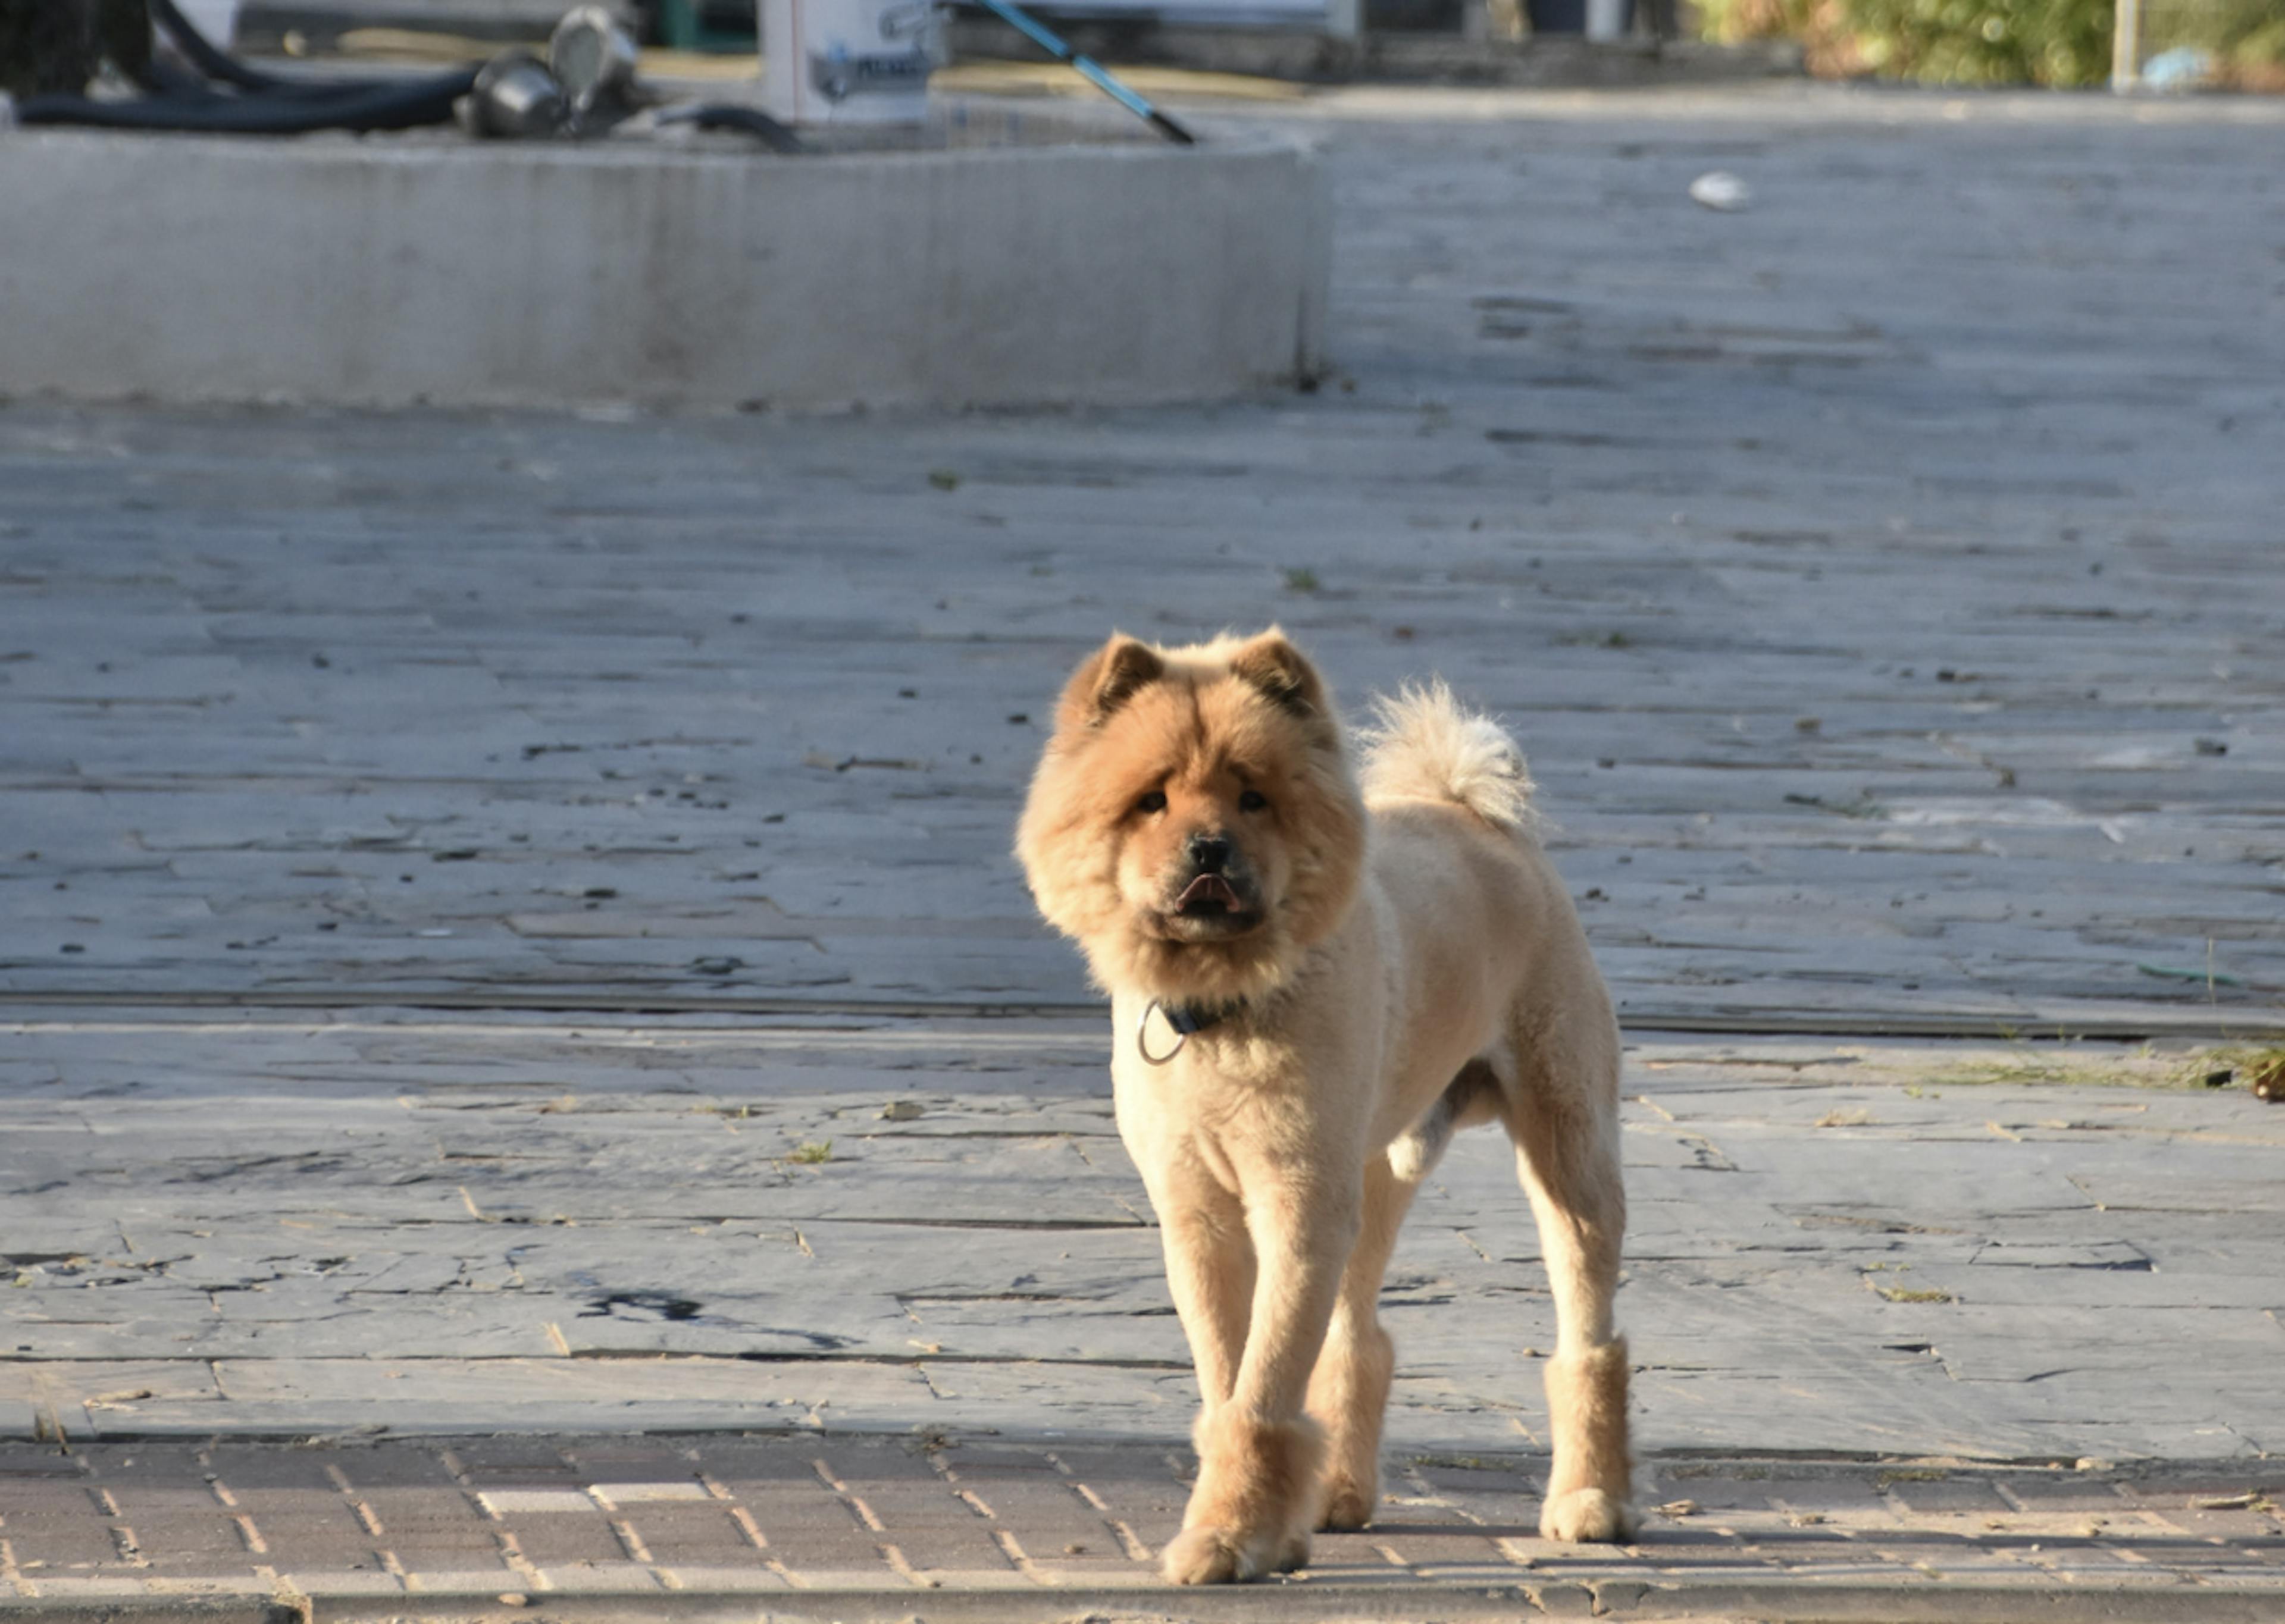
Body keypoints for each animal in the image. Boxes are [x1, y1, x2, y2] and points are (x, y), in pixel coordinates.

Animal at [1014, 630, 1627, 1581]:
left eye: (1254, 798)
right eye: (1151, 801)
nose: (1208, 848)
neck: (1227, 1005)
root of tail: (1479, 816)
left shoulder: (1295, 1200)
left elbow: (1261, 1389)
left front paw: (1230, 1537)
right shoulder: (1202, 1211)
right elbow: (1233, 1373)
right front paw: (1264, 1522)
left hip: (1566, 1149)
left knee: (1586, 1330)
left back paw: (1590, 1501)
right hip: (1372, 1174)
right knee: (1358, 1333)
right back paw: (1336, 1494)